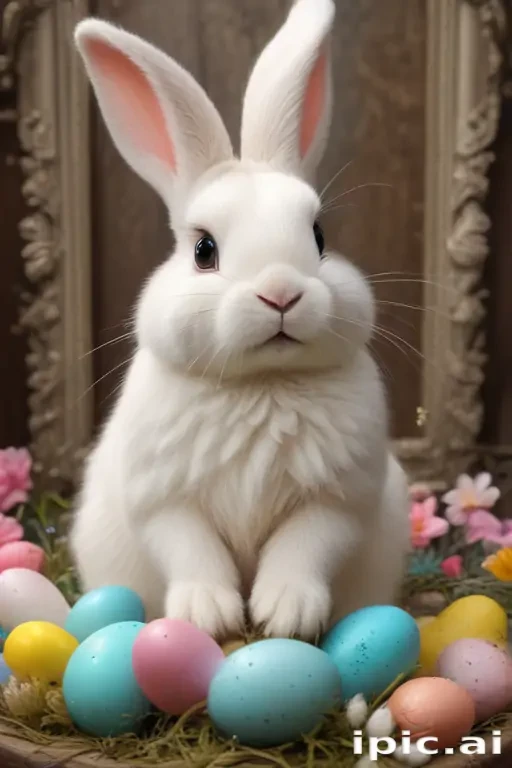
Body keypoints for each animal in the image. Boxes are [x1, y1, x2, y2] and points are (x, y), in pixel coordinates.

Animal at [70, 0, 410, 641]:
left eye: (319, 236)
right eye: (204, 250)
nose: (280, 293)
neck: (262, 384)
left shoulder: (339, 500)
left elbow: (306, 545)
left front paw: (286, 614)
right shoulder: (163, 499)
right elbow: (190, 547)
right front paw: (209, 615)